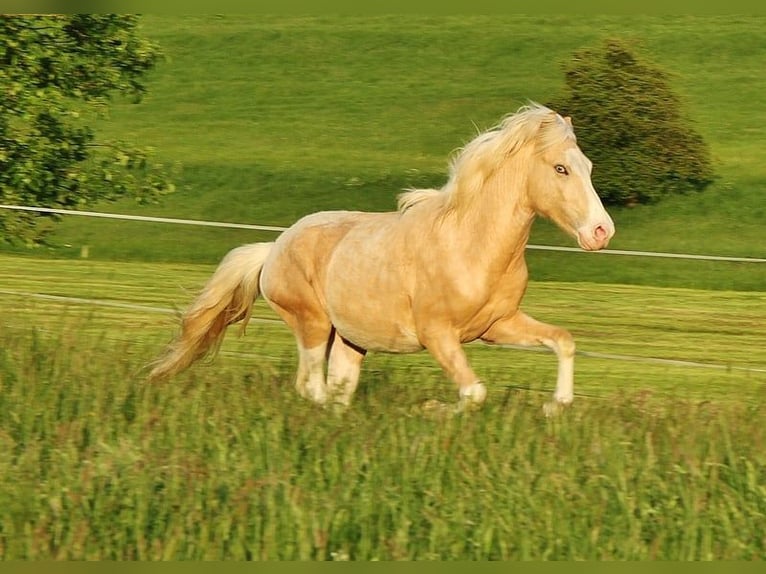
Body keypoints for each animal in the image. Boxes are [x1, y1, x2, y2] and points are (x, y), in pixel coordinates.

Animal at [148, 103, 615, 413]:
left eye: (588, 166)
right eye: (560, 169)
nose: (601, 232)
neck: (471, 245)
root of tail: (273, 248)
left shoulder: (497, 326)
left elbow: (563, 341)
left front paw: (556, 405)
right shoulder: (437, 335)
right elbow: (473, 393)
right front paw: (429, 409)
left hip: (350, 340)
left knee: (336, 389)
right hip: (312, 325)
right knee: (312, 386)